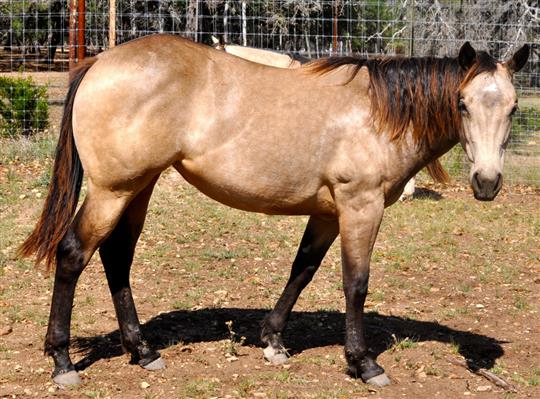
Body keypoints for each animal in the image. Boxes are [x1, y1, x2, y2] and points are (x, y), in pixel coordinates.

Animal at [20, 36, 528, 388]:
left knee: (116, 258)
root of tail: (99, 61)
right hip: (113, 191)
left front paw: (273, 341)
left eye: (513, 107)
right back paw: (63, 362)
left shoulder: (327, 214)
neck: (377, 114)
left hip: (137, 188)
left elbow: (301, 270)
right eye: (462, 103)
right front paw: (363, 363)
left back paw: (142, 351)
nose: (486, 182)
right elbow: (356, 285)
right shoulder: (360, 207)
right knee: (73, 254)